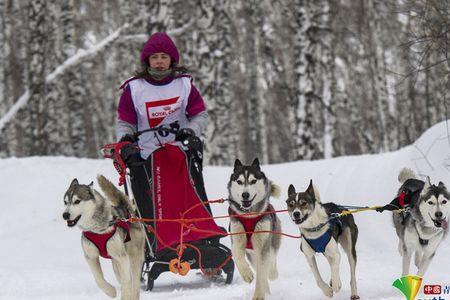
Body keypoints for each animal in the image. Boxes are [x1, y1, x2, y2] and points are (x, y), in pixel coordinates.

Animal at [229, 158, 282, 298]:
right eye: (239, 181)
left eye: (253, 181)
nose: (245, 195)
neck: (249, 216)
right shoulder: (236, 237)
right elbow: (236, 254)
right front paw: (246, 274)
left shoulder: (263, 245)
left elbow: (262, 274)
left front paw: (258, 296)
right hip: (252, 253)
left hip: (271, 241)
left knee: (270, 263)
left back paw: (272, 274)